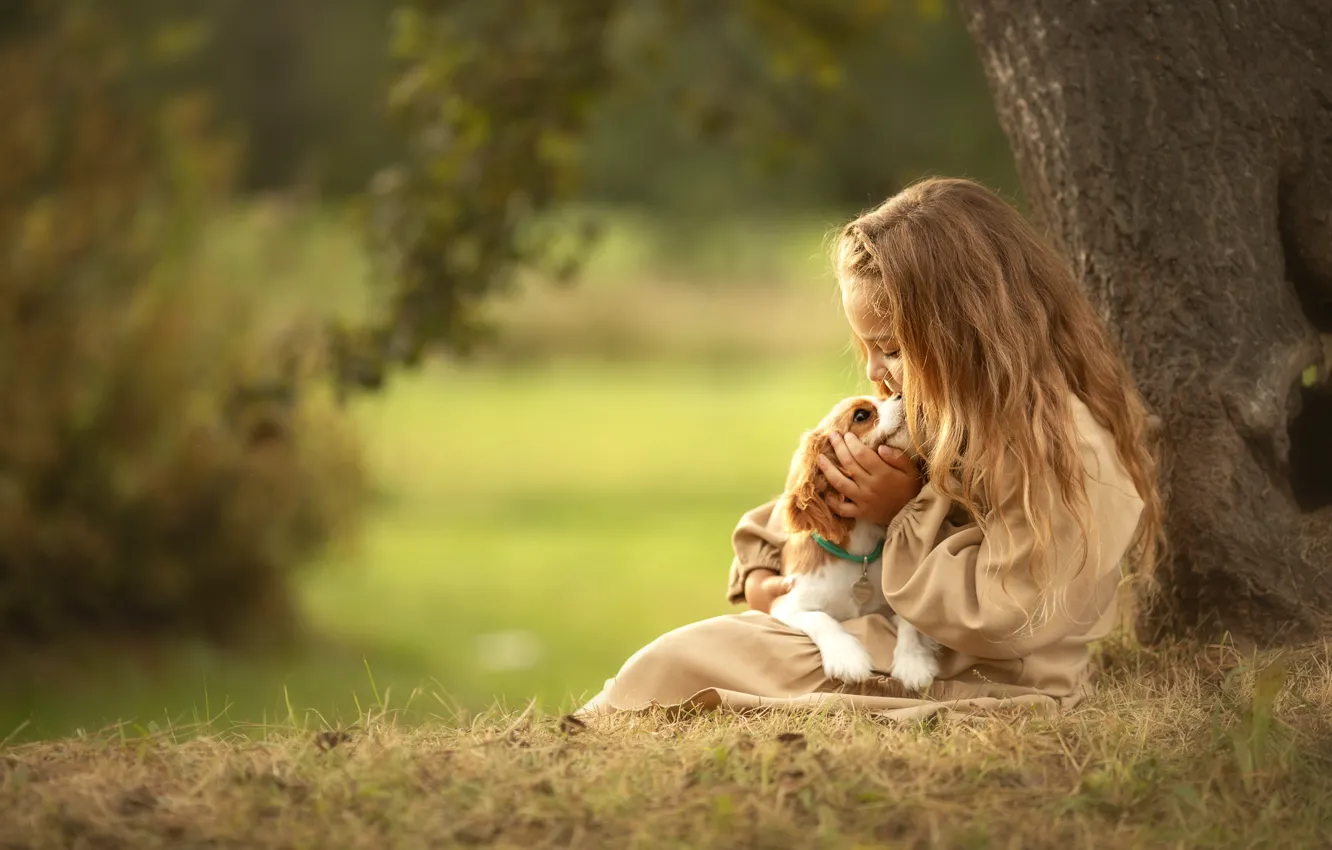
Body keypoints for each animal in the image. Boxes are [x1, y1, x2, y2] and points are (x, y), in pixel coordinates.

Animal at [767, 397, 943, 692]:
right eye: (861, 415)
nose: (899, 396)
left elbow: (909, 621)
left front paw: (913, 663)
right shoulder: (785, 604)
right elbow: (820, 618)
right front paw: (847, 658)